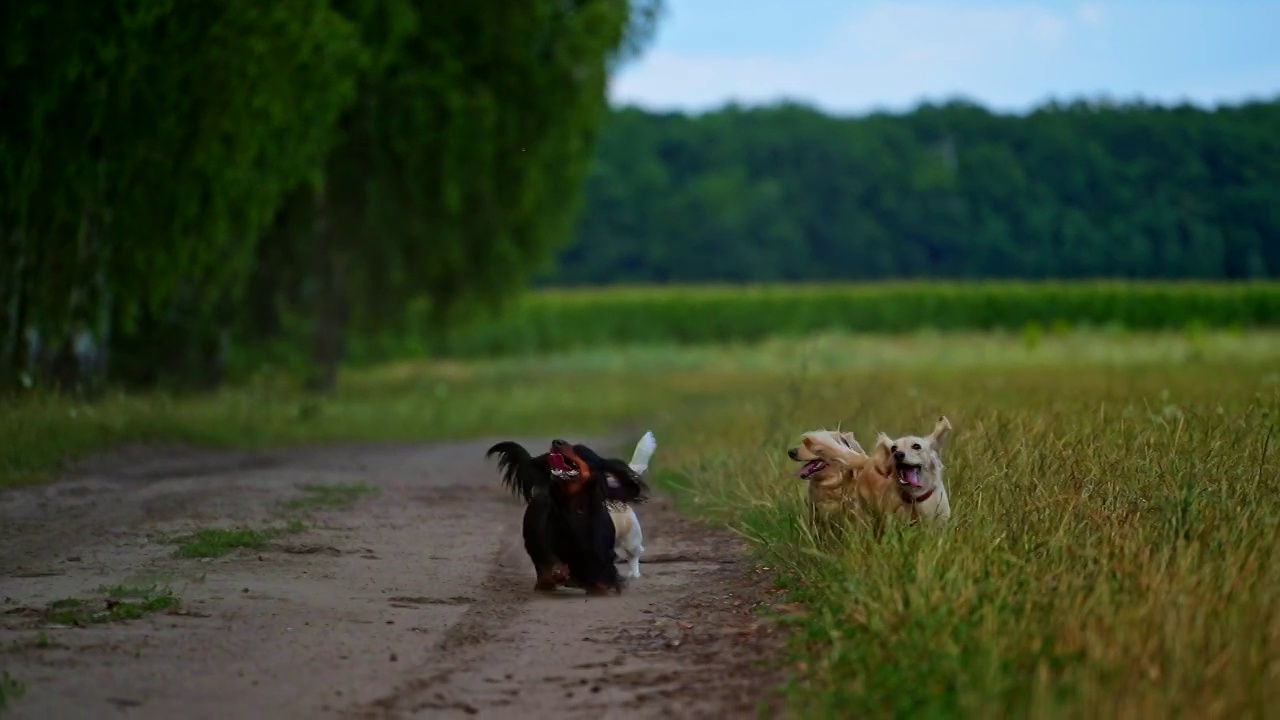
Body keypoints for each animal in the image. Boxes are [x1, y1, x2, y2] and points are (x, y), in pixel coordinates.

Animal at [483, 438, 645, 594]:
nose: (556, 442)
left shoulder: (602, 561)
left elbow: (604, 578)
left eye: (580, 450)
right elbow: (554, 567)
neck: (576, 510)